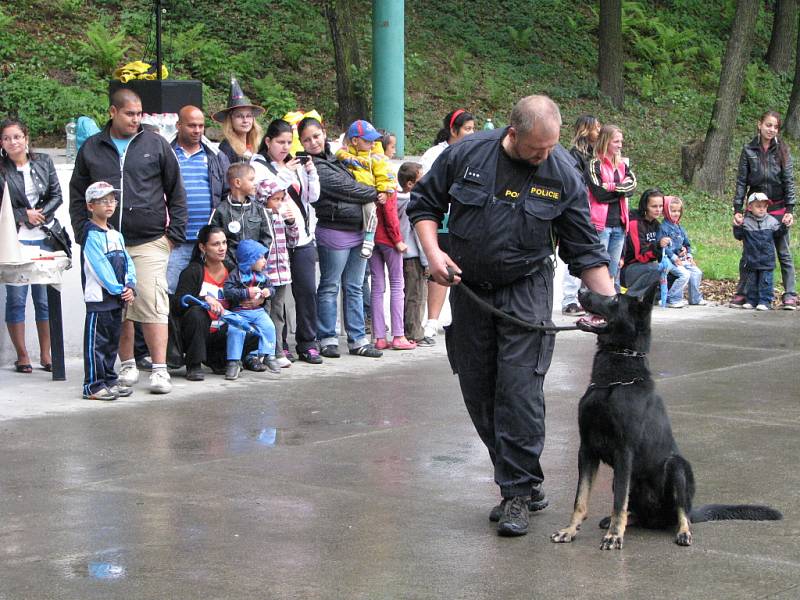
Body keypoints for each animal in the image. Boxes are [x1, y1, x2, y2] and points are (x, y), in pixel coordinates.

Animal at [552, 286, 780, 548]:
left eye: (615, 298)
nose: (581, 289)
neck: (613, 382)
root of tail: (657, 518)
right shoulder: (587, 450)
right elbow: (581, 498)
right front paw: (570, 530)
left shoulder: (624, 452)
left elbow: (618, 502)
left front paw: (614, 536)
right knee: (635, 511)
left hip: (677, 467)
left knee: (682, 513)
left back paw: (682, 531)